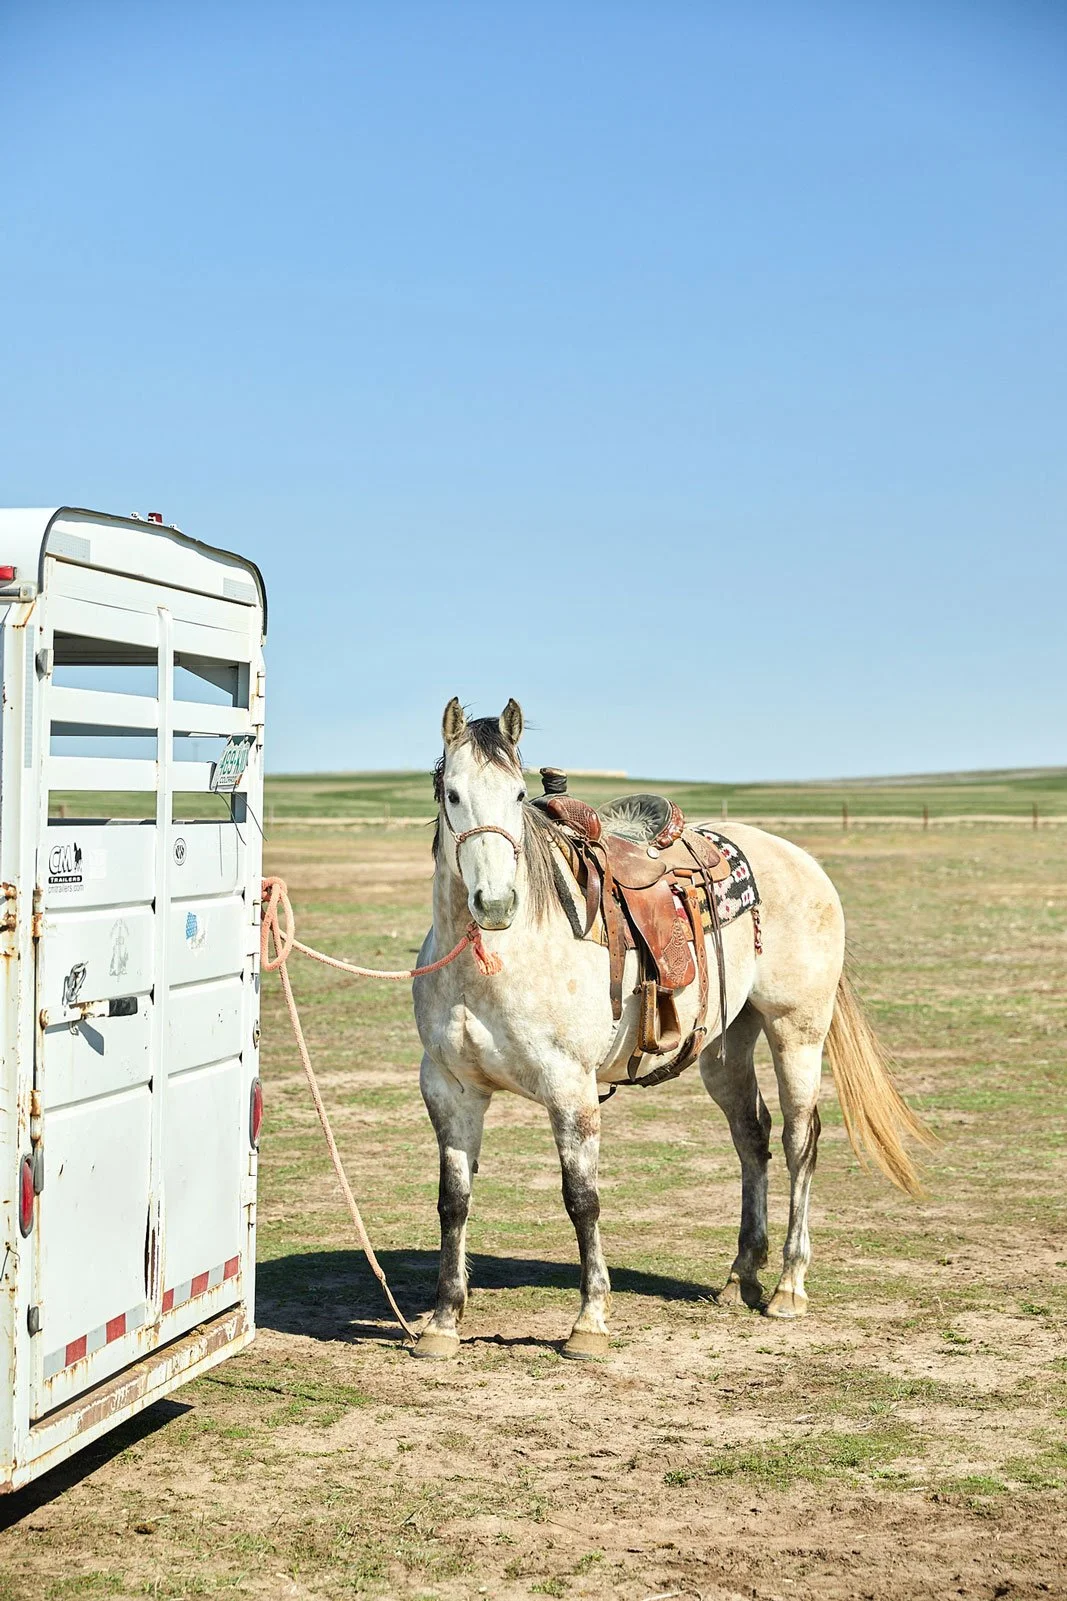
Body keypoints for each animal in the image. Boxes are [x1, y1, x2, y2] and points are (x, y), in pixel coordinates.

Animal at [411, 697, 933, 1360]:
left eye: (518, 792)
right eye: (452, 794)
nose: (496, 902)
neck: (502, 960)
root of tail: (801, 860)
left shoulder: (569, 1087)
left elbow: (582, 1200)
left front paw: (590, 1321)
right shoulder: (450, 1089)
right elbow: (453, 1202)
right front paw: (443, 1322)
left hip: (797, 1030)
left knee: (800, 1140)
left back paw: (788, 1287)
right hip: (726, 1044)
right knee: (752, 1136)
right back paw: (741, 1276)